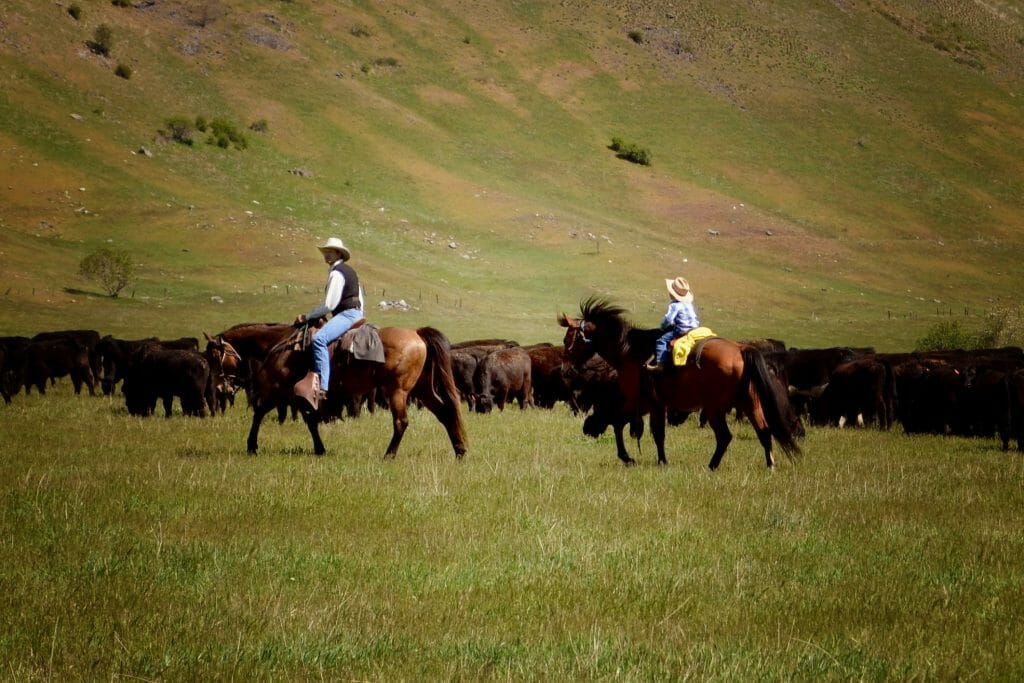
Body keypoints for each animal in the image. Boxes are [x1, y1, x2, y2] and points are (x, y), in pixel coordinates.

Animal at [243, 325, 468, 458]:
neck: (289, 351)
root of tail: (418, 334)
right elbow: (311, 422)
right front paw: (319, 449)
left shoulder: (282, 389)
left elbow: (261, 412)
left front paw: (252, 446)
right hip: (422, 389)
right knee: (445, 411)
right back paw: (460, 451)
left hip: (398, 391)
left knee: (401, 422)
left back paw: (389, 455)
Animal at [561, 299, 798, 471]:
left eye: (567, 339)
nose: (565, 369)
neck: (630, 352)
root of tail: (741, 350)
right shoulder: (645, 404)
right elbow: (628, 426)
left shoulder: (646, 403)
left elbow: (646, 430)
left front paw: (651, 461)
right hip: (750, 402)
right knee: (764, 431)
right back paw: (770, 466)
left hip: (714, 408)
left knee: (725, 436)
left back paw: (711, 466)